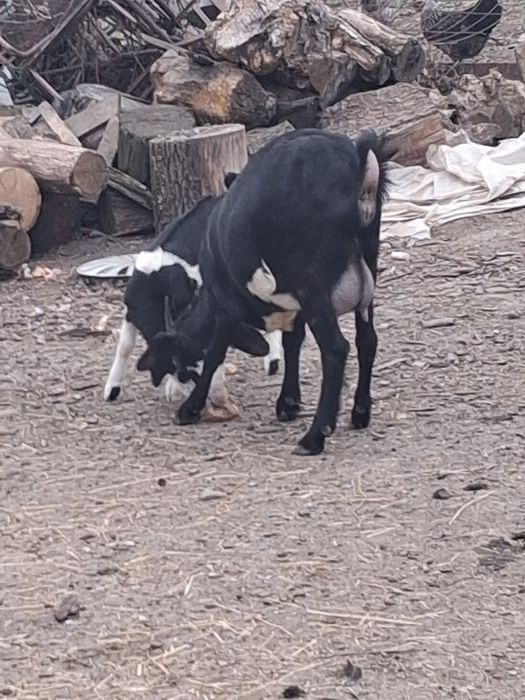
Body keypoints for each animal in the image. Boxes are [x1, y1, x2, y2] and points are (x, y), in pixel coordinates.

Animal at [137, 129, 388, 455]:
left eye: (179, 362)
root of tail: (357, 159)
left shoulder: (226, 304)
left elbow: (216, 351)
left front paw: (189, 409)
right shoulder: (295, 307)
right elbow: (293, 342)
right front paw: (288, 403)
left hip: (313, 284)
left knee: (335, 348)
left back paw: (314, 437)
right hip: (367, 267)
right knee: (367, 340)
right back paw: (360, 412)